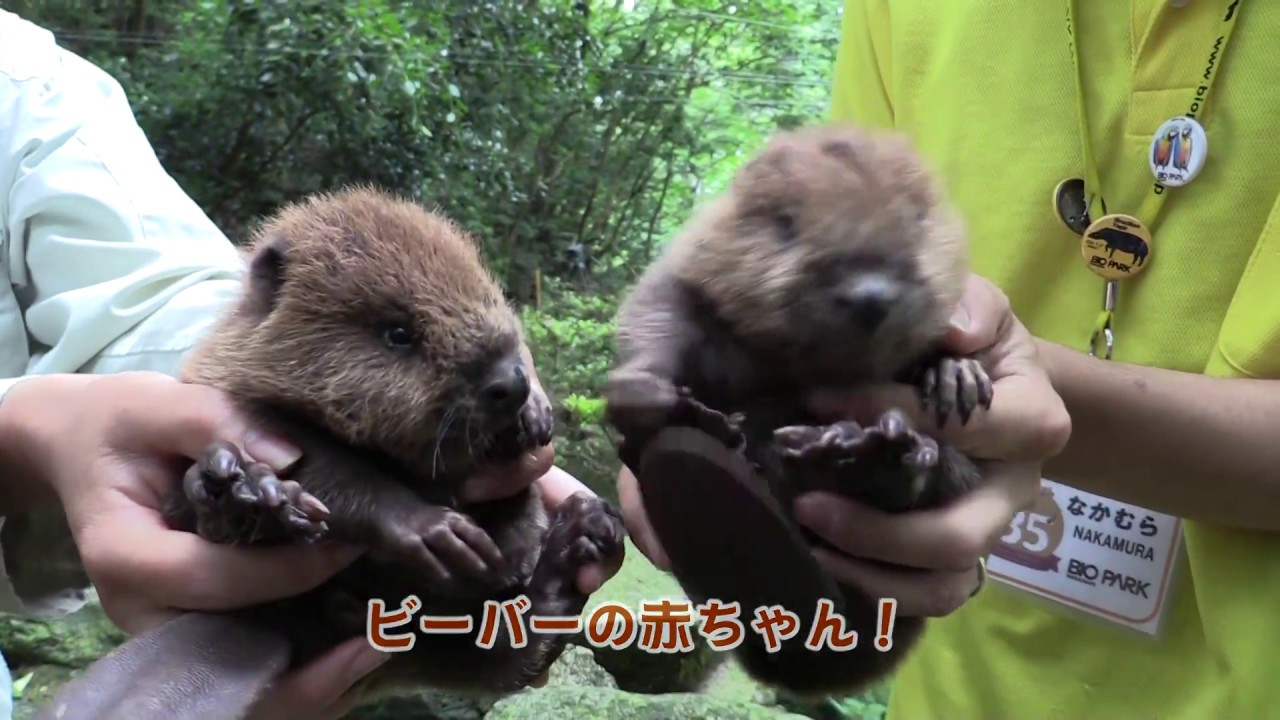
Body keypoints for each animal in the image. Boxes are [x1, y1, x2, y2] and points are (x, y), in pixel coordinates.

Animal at [35, 184, 624, 717]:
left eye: (491, 294)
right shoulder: (247, 406)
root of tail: (259, 629)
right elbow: (333, 469)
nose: (510, 383)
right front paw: (443, 534)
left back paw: (586, 534)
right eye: (399, 333)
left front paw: (537, 416)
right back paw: (246, 494)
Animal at [604, 121, 993, 696]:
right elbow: (660, 306)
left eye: (919, 220)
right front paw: (647, 393)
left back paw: (869, 452)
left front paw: (958, 377)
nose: (870, 294)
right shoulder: (696, 256)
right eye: (786, 223)